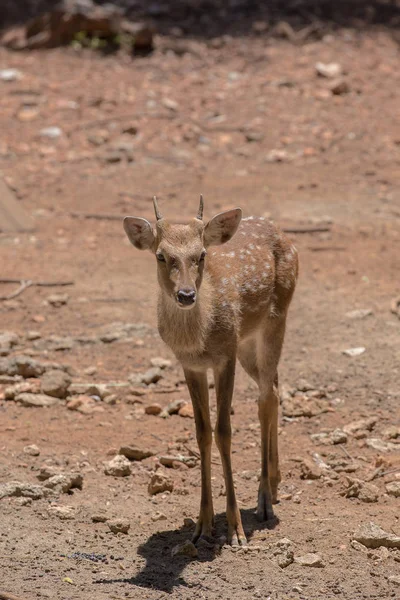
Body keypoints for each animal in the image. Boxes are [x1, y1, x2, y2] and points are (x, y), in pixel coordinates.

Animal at [123, 197, 298, 548]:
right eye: (161, 255)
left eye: (202, 254)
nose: (186, 295)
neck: (198, 340)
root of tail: (283, 234)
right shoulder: (190, 364)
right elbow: (202, 433)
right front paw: (202, 525)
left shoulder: (224, 356)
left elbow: (224, 431)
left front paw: (235, 529)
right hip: (247, 343)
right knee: (273, 386)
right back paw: (274, 483)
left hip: (276, 318)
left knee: (266, 398)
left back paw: (264, 500)